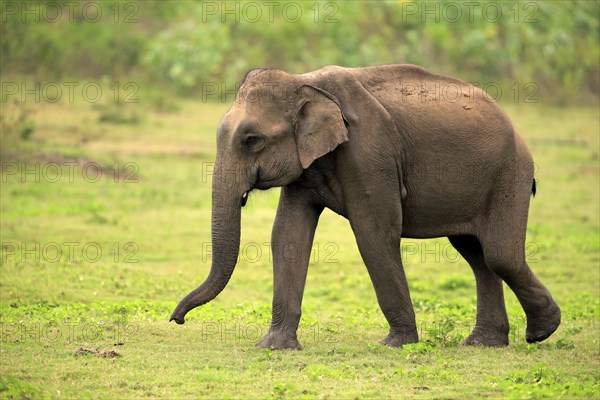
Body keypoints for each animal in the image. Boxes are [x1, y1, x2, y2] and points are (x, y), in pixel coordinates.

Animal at [170, 64, 564, 348]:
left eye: (252, 140)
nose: (177, 319)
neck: (306, 82)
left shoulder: (369, 153)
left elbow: (374, 233)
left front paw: (396, 345)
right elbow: (287, 236)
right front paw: (273, 347)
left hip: (508, 175)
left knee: (499, 255)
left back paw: (541, 332)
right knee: (477, 256)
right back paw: (484, 343)